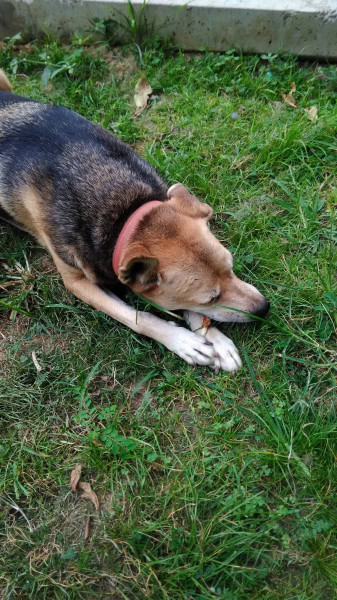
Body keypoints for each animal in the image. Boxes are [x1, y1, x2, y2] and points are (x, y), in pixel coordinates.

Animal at [0, 69, 268, 370]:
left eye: (231, 268)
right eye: (212, 297)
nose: (264, 308)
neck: (122, 209)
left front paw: (215, 337)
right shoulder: (78, 282)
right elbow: (138, 318)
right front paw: (183, 340)